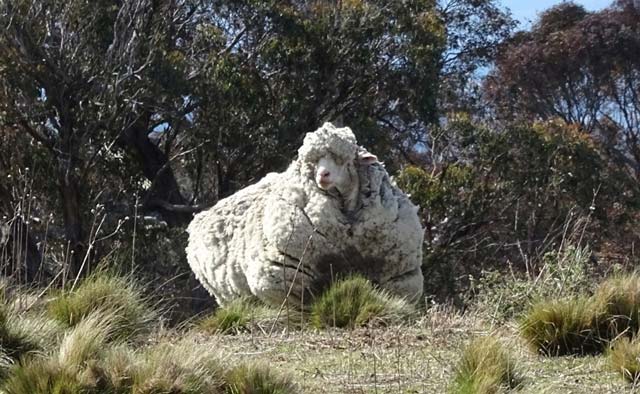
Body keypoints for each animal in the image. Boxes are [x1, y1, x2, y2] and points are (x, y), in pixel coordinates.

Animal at [185, 121, 424, 306]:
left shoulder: (398, 277)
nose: (322, 175)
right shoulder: (286, 278)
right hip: (227, 295)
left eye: (343, 159)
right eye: (313, 162)